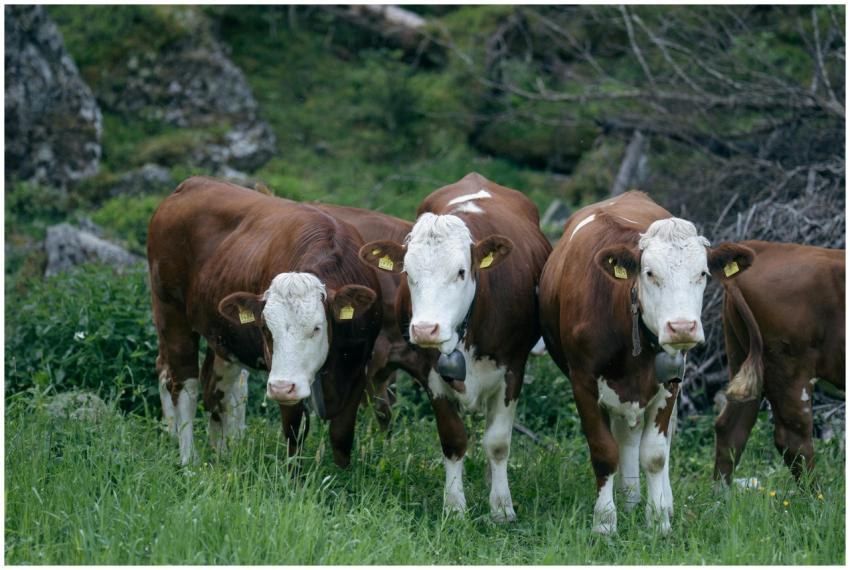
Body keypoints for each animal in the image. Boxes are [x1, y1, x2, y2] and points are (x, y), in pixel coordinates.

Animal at [147, 176, 382, 467]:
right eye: (265, 330)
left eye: (317, 328)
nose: (281, 386)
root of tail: (191, 184)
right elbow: (294, 432)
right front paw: (294, 476)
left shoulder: (358, 367)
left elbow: (341, 435)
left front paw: (343, 475)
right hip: (170, 312)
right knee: (184, 385)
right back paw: (189, 460)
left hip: (222, 336)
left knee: (215, 386)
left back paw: (222, 452)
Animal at [358, 172, 552, 522]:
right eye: (408, 273)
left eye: (461, 271)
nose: (425, 329)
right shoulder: (431, 375)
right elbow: (453, 440)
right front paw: (454, 506)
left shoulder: (513, 369)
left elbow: (498, 443)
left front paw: (501, 506)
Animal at [538, 191, 754, 534]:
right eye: (650, 273)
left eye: (703, 274)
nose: (682, 327)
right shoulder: (583, 382)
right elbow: (604, 451)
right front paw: (605, 522)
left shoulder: (668, 383)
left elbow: (654, 454)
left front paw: (659, 521)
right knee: (624, 438)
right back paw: (629, 499)